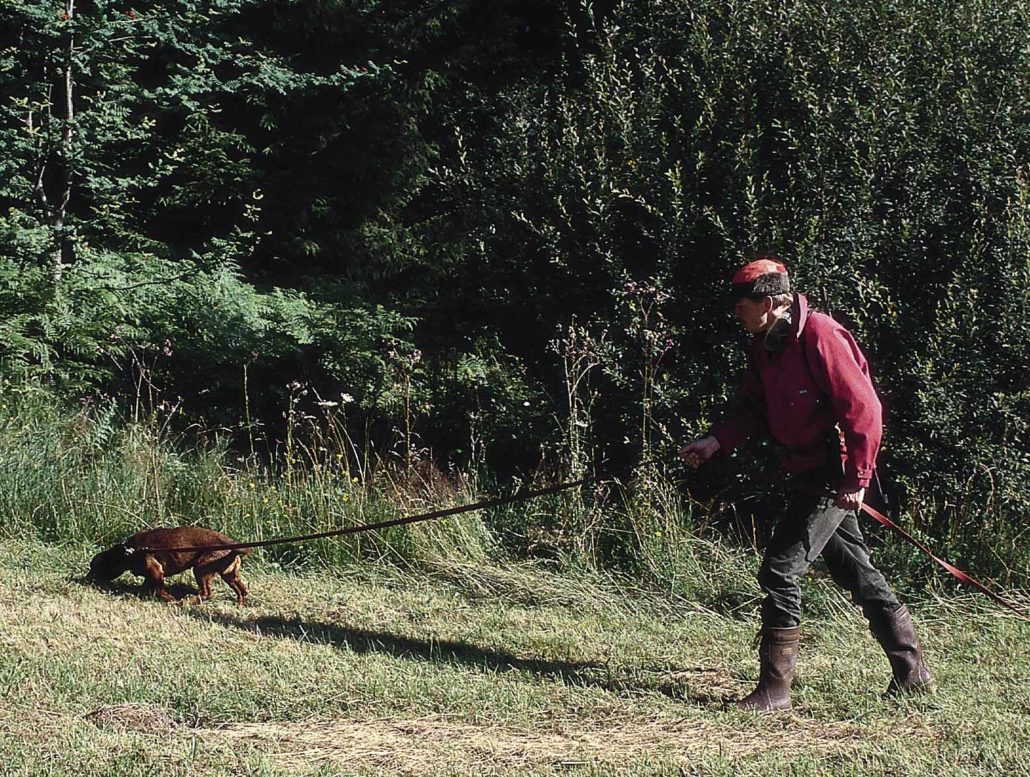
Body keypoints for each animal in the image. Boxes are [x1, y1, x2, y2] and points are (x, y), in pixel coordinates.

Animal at [88, 527, 250, 605]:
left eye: (94, 568)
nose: (86, 579)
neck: (128, 551)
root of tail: (233, 545)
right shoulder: (150, 575)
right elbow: (145, 587)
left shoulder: (156, 571)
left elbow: (159, 590)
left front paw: (170, 599)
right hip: (229, 575)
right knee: (242, 590)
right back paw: (239, 603)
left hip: (200, 570)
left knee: (206, 593)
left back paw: (187, 602)